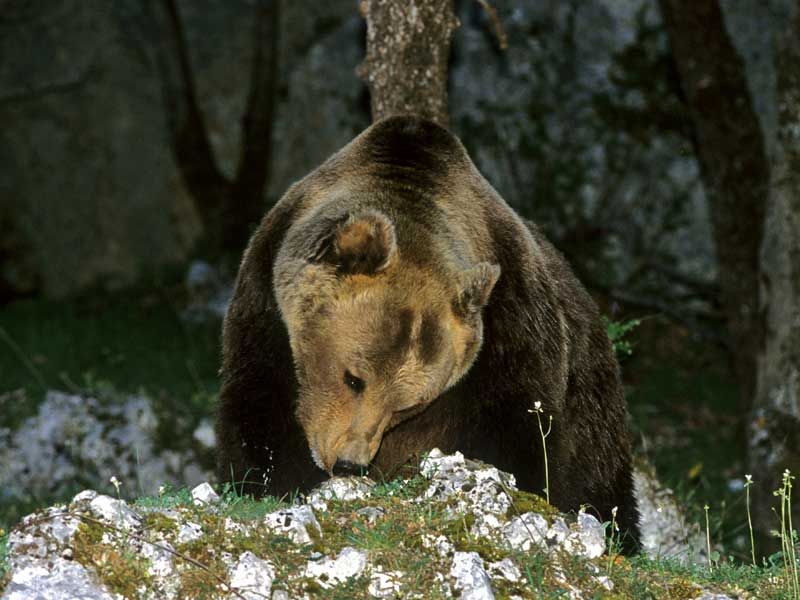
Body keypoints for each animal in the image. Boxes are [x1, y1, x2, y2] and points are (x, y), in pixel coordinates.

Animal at [216, 115, 640, 551]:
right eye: (354, 378)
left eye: (405, 407)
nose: (349, 462)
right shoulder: (266, 303)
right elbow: (260, 407)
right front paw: (272, 482)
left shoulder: (512, 333)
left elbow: (522, 436)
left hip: (590, 401)